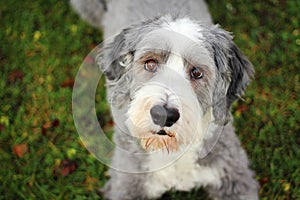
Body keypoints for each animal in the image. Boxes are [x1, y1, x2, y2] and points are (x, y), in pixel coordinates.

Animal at [71, 0, 258, 199]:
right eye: (150, 63)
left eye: (197, 72)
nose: (164, 115)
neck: (172, 151)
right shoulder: (127, 184)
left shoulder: (235, 175)